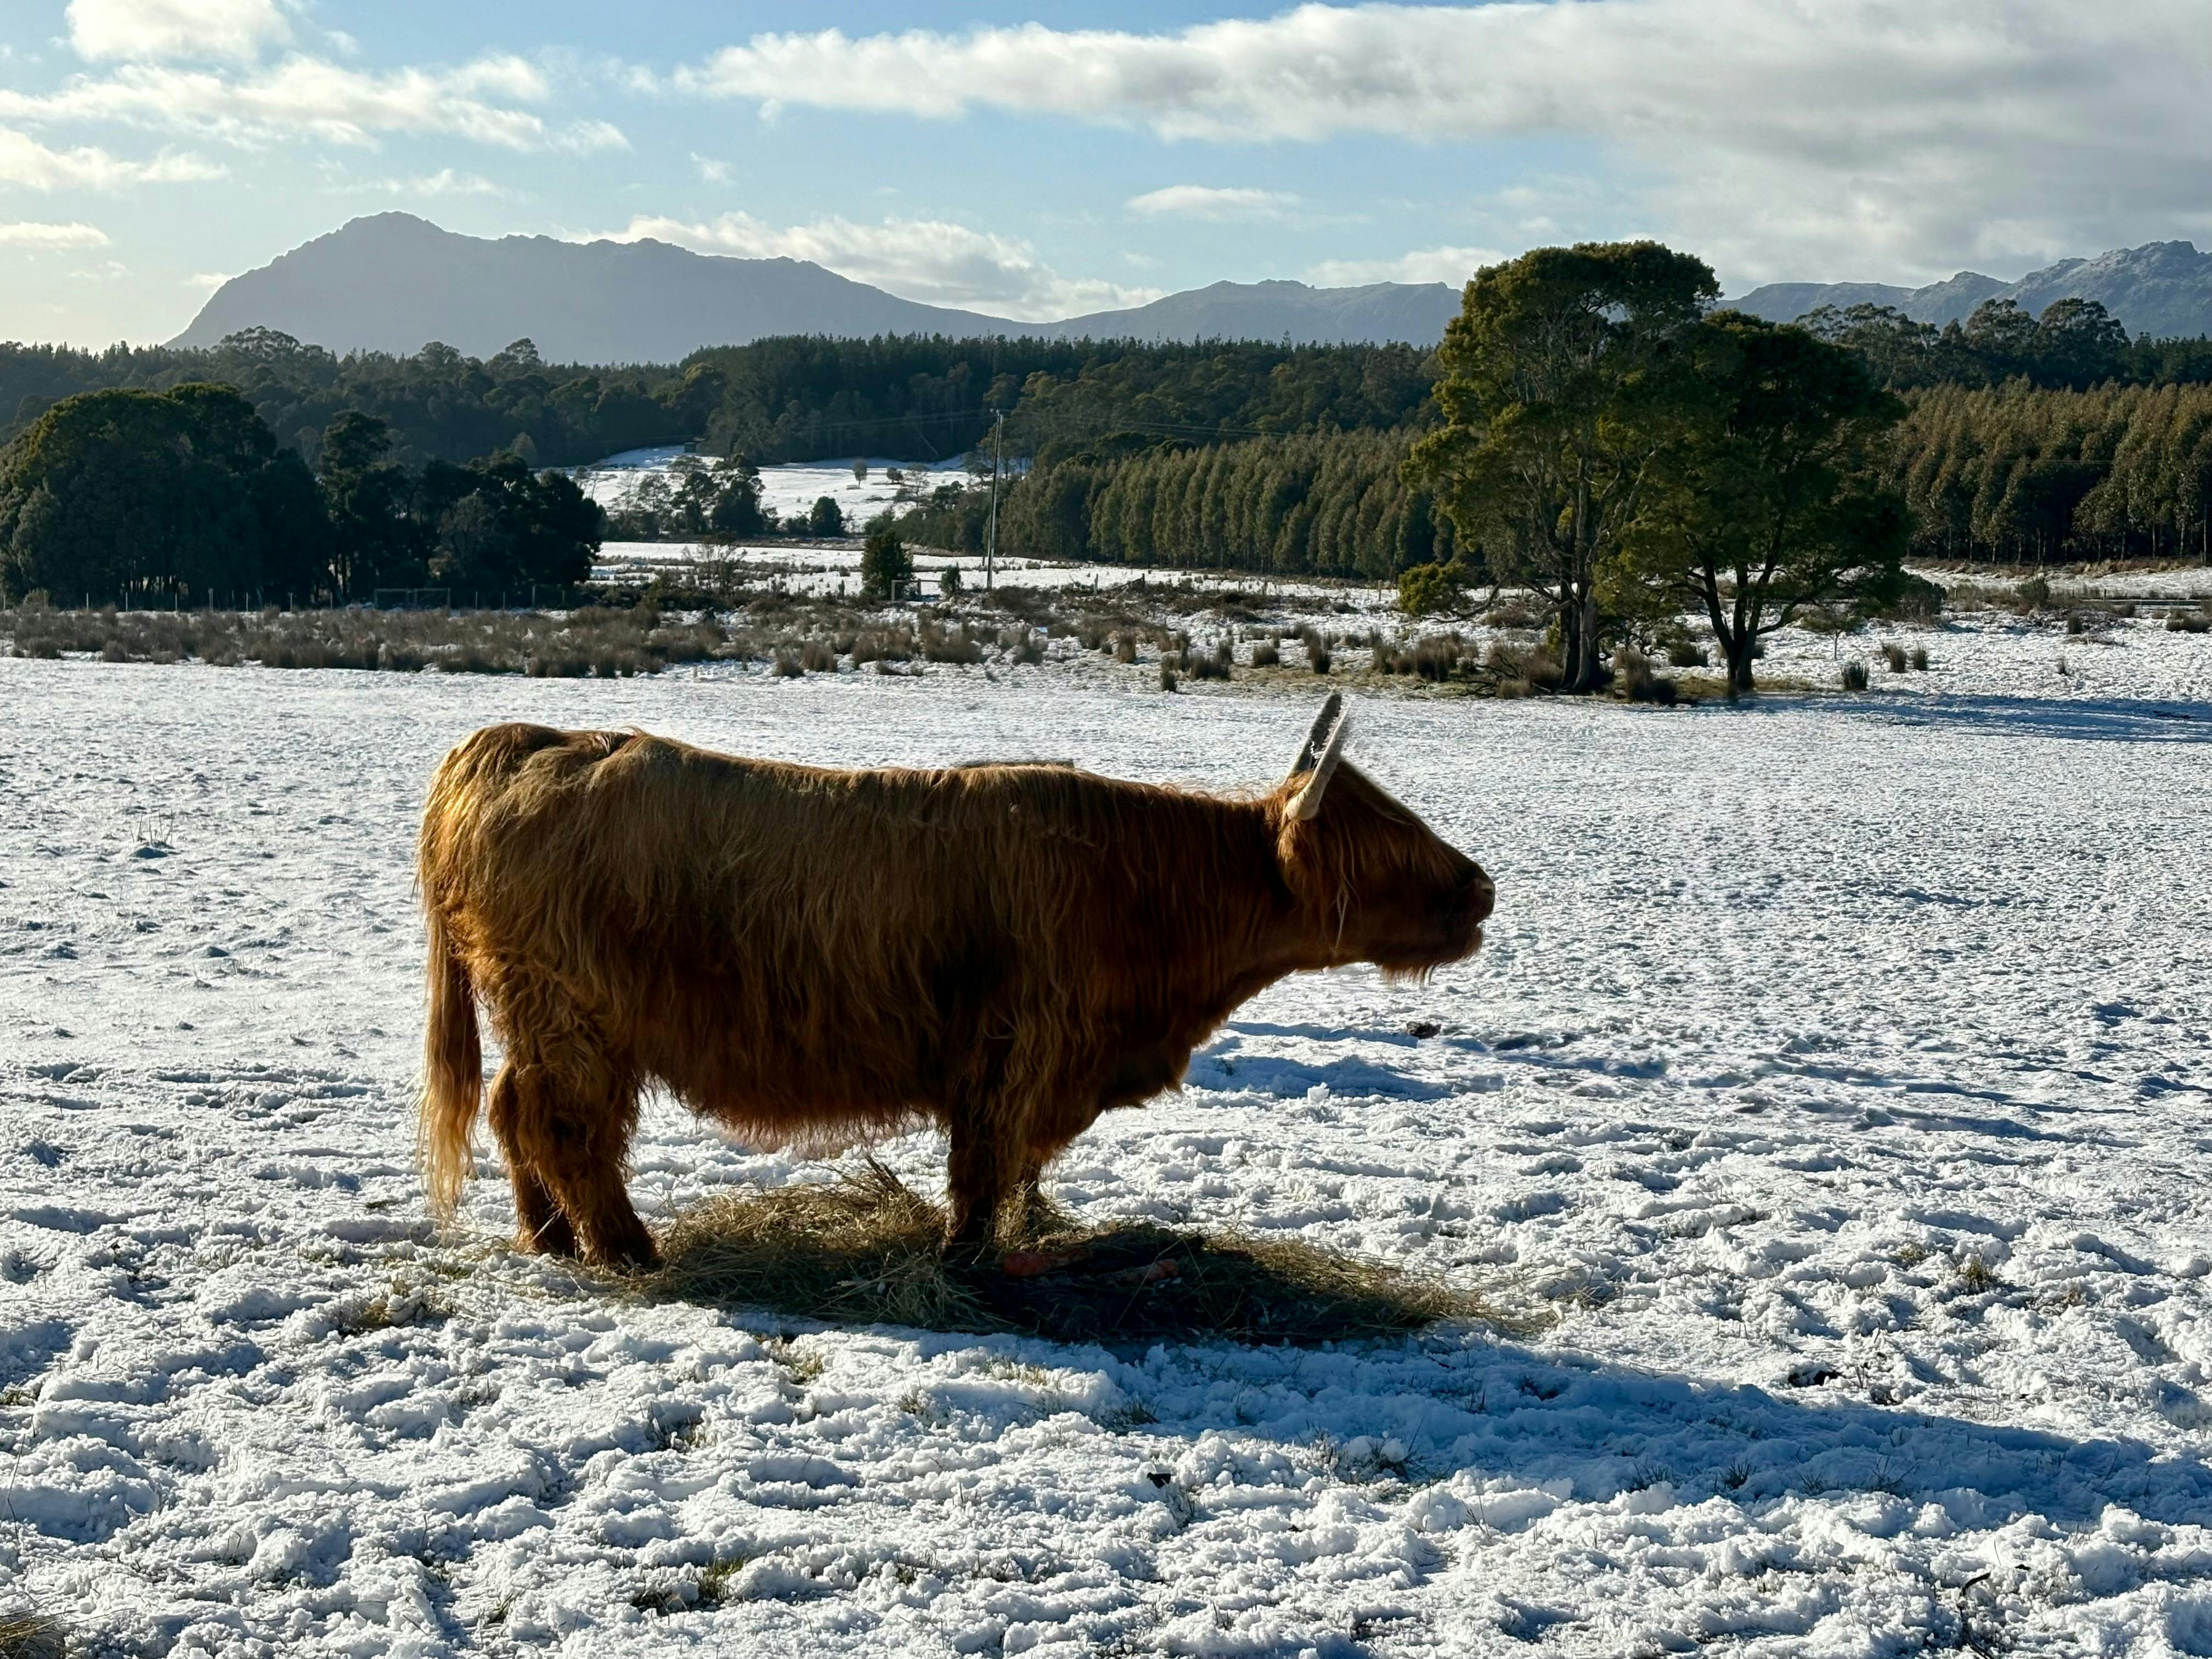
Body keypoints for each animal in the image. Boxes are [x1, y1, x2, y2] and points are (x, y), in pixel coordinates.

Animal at [416, 694, 1493, 1269]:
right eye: (1391, 841)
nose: (1482, 885)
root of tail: (532, 738)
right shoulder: (1014, 1052)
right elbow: (983, 1167)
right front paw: (966, 1256)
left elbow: (1007, 1169)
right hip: (576, 1017)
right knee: (562, 1125)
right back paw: (627, 1248)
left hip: (543, 1017)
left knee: (514, 1111)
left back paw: (553, 1239)